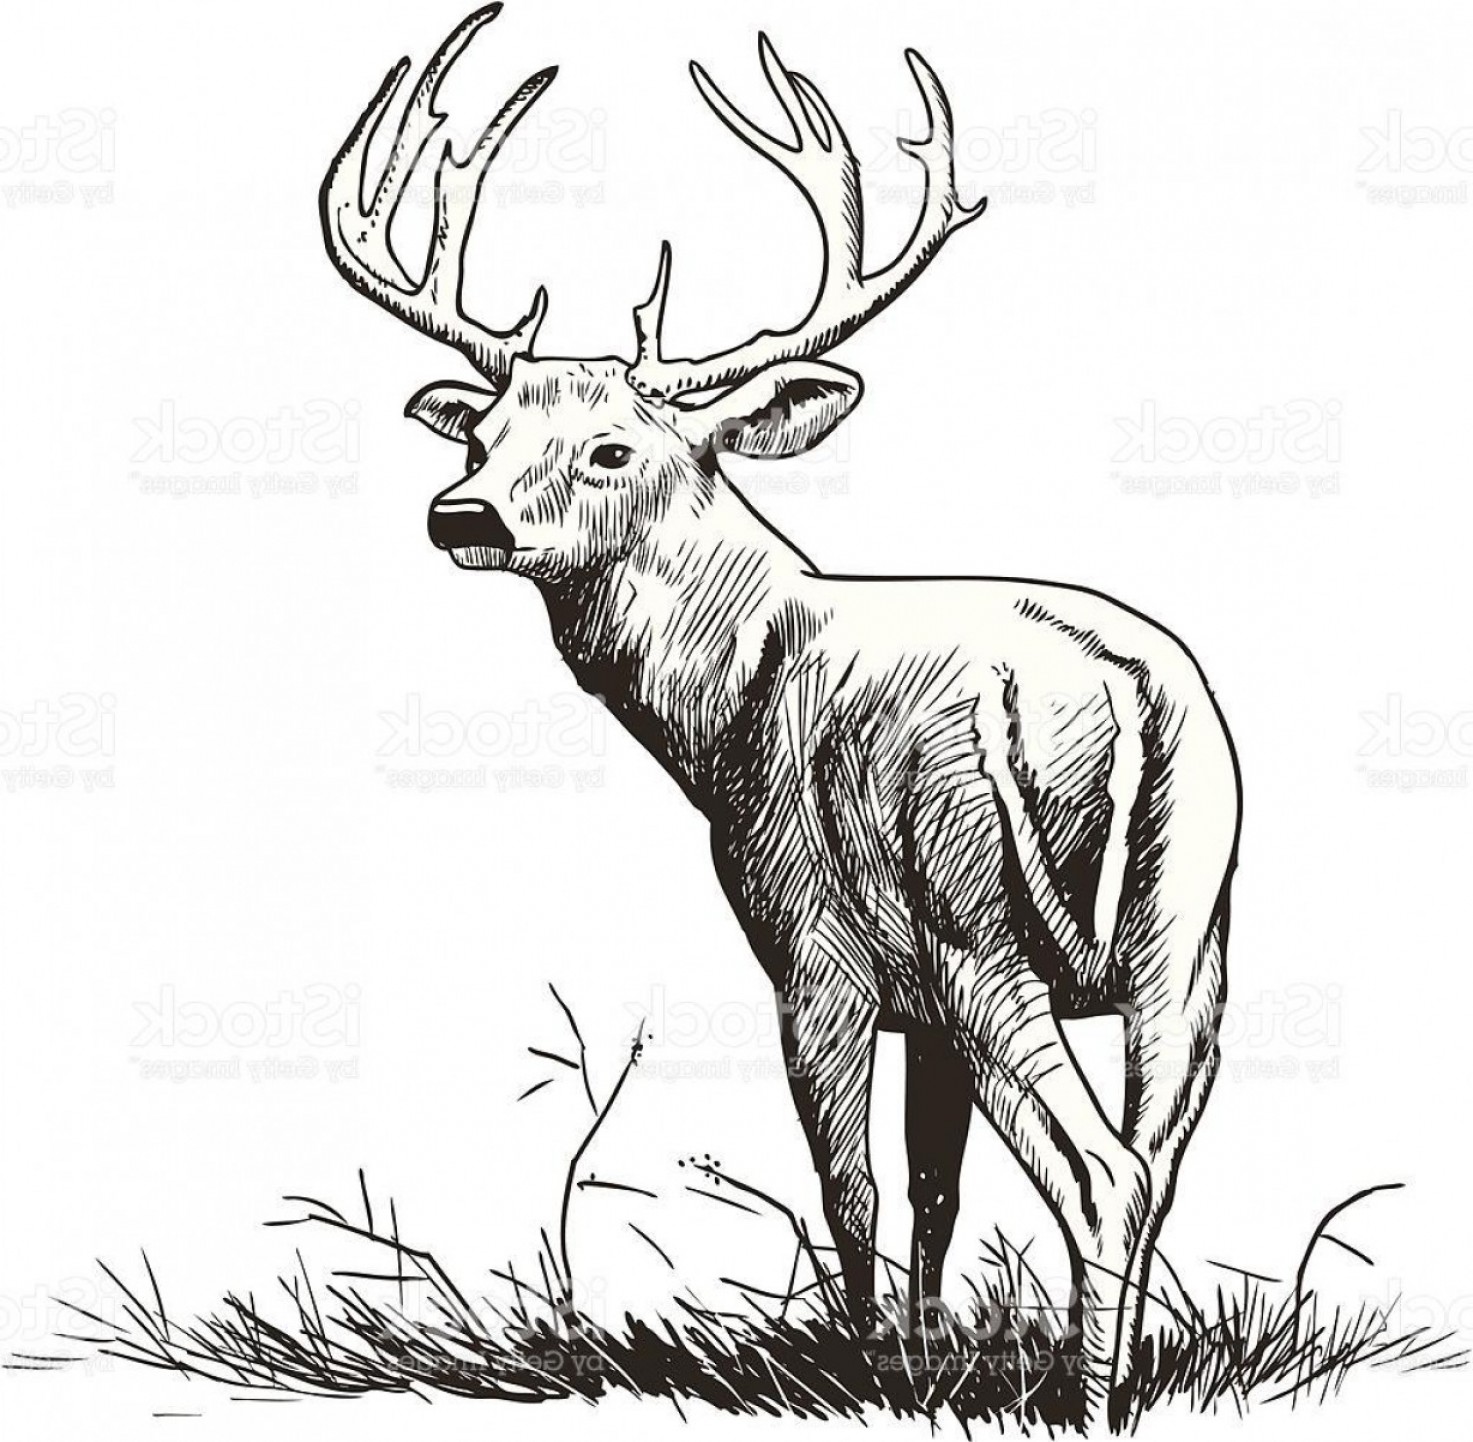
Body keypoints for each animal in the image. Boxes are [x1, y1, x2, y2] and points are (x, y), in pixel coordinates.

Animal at [321, 7, 1241, 1429]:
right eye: (479, 438)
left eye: (613, 450)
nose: (459, 512)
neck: (732, 690)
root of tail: (1121, 696)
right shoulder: (924, 999)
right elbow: (932, 1184)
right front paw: (925, 1357)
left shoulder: (817, 942)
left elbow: (849, 1185)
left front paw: (866, 1372)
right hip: (1187, 932)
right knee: (1155, 1162)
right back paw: (1122, 1377)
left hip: (981, 919)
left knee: (1100, 1173)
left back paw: (1088, 1403)